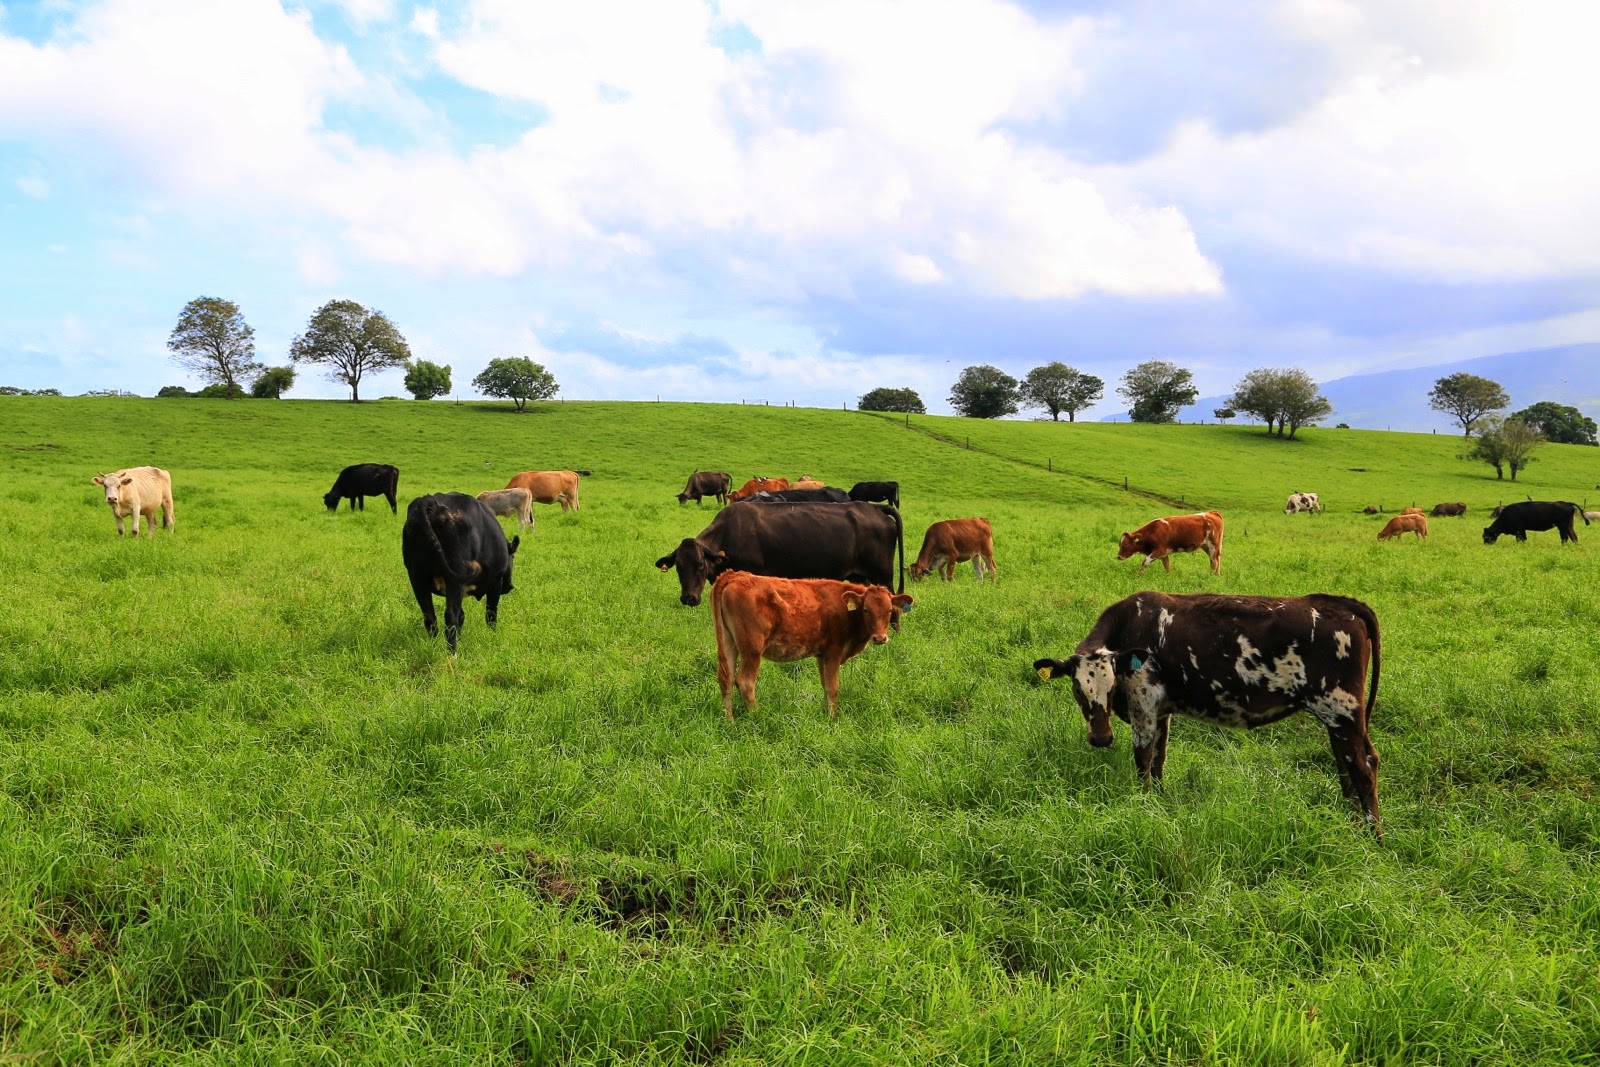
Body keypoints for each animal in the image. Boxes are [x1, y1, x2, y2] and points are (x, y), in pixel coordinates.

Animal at [401, 492, 519, 654]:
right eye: (512, 556)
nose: (510, 586)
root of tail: (430, 501)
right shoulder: (496, 582)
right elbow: (491, 614)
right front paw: (493, 636)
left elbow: (461, 616)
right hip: (454, 579)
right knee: (450, 617)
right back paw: (452, 653)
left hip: (417, 577)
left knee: (430, 617)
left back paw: (433, 648)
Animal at [711, 572, 913, 719]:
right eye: (866, 610)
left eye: (889, 610)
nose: (880, 638)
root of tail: (735, 575)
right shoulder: (833, 651)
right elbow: (833, 687)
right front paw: (834, 719)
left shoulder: (821, 655)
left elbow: (825, 685)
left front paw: (826, 713)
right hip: (752, 649)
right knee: (745, 681)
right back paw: (756, 716)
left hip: (729, 643)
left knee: (726, 678)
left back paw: (729, 719)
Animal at [1033, 591, 1382, 835]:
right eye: (1078, 689)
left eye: (1112, 684)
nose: (1101, 738)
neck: (1131, 628)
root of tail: (1344, 604)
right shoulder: (1162, 712)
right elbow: (1159, 759)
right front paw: (1159, 801)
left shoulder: (1143, 706)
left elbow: (1143, 760)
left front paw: (1144, 804)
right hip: (1337, 719)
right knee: (1350, 765)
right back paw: (1351, 825)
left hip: (1341, 710)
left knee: (1362, 769)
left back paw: (1373, 837)